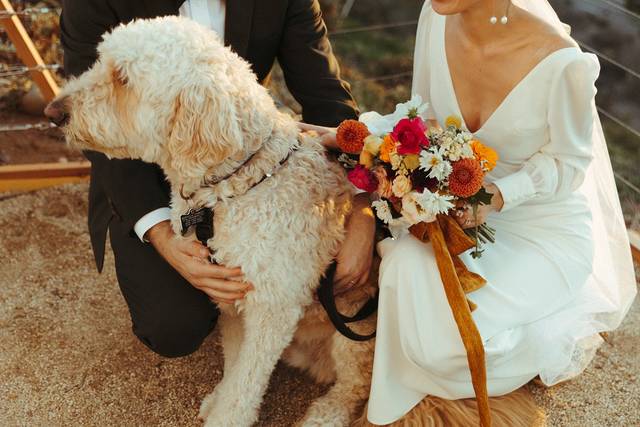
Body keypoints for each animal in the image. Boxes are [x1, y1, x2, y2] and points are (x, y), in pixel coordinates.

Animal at [53, 16, 380, 427]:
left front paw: (228, 414)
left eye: (123, 78)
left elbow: (247, 379)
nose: (53, 111)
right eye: (100, 61)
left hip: (356, 325)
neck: (238, 183)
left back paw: (326, 413)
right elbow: (235, 364)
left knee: (355, 385)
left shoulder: (273, 307)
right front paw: (220, 397)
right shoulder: (230, 296)